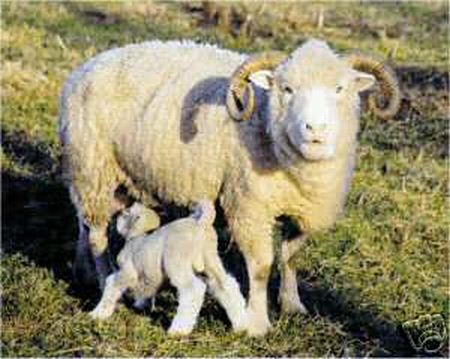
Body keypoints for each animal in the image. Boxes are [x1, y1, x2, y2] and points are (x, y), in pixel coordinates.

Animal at [88, 201, 248, 336]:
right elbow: (147, 288)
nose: (117, 214)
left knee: (193, 290)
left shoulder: (126, 273)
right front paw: (142, 304)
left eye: (127, 213)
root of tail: (200, 223)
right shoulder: (149, 273)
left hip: (177, 263)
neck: (136, 237)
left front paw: (98, 313)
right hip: (211, 261)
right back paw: (241, 324)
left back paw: (179, 329)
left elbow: (111, 286)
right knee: (226, 286)